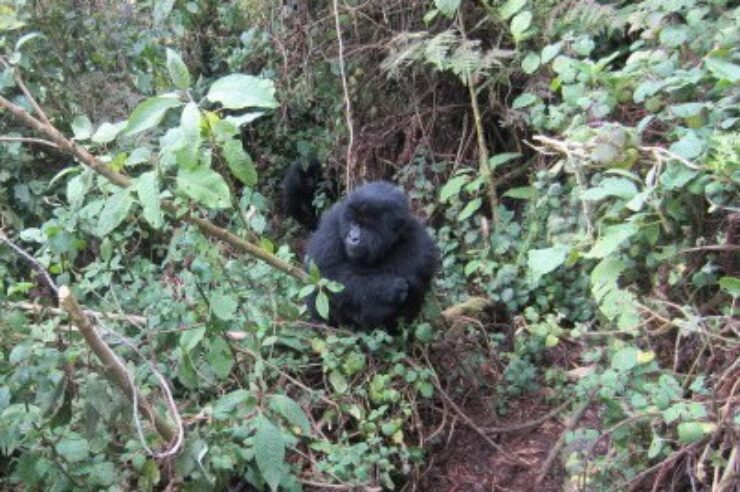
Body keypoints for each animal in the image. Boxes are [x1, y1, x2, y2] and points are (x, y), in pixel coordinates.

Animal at [304, 181, 440, 330]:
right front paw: (387, 288)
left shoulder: (421, 246)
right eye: (354, 223)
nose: (353, 237)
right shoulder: (332, 223)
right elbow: (327, 274)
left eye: (367, 227)